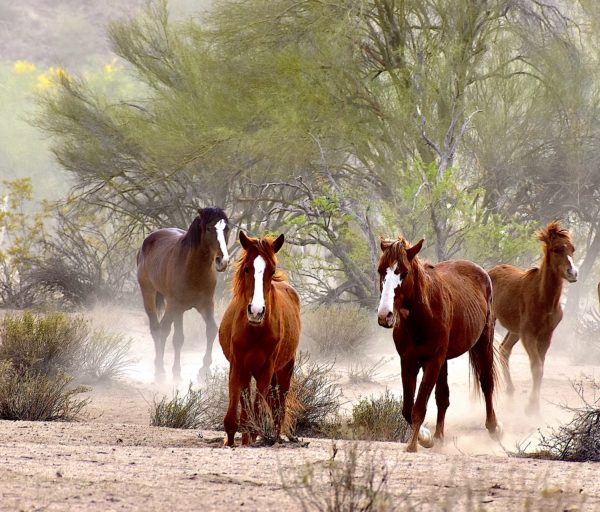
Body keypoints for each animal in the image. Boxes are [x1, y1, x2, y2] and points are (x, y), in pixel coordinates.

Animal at [137, 207, 231, 380]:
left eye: (226, 228)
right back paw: (159, 368)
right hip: (150, 294)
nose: (222, 261)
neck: (193, 269)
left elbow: (211, 329)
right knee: (157, 328)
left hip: (177, 309)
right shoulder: (174, 305)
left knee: (173, 334)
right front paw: (165, 372)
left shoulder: (206, 305)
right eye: (209, 228)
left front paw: (203, 371)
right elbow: (168, 333)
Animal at [218, 230, 300, 446]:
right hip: (248, 372)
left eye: (271, 271)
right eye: (247, 268)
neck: (254, 330)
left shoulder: (266, 369)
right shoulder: (237, 366)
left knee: (279, 409)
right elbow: (234, 416)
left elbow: (257, 410)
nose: (256, 311)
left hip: (284, 370)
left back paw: (275, 438)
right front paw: (230, 442)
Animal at [376, 236, 502, 452]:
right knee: (443, 397)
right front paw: (426, 437)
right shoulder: (408, 362)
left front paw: (414, 444)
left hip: (483, 343)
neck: (423, 317)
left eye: (404, 272)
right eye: (380, 271)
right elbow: (408, 408)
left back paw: (494, 428)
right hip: (444, 360)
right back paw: (439, 436)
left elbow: (418, 407)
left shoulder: (432, 361)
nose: (385, 315)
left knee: (487, 383)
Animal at [490, 222, 580, 414]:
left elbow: (541, 367)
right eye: (556, 249)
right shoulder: (528, 335)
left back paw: (510, 393)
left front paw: (534, 406)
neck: (543, 299)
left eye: (572, 249)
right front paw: (531, 407)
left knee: (504, 350)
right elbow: (536, 366)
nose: (573, 273)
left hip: (514, 331)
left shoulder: (546, 336)